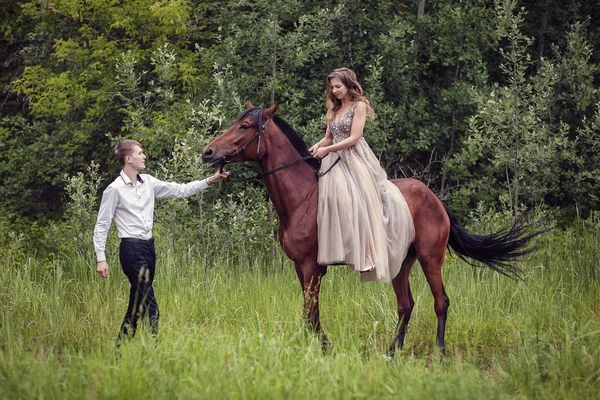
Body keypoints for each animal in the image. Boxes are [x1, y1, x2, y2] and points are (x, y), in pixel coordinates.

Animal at [203, 104, 540, 356]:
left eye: (246, 126)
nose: (208, 153)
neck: (303, 198)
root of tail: (435, 199)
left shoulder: (312, 266)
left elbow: (310, 311)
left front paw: (321, 349)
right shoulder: (300, 266)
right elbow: (311, 311)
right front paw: (320, 346)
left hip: (431, 259)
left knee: (440, 302)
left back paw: (439, 351)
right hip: (401, 263)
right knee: (406, 305)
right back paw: (392, 352)